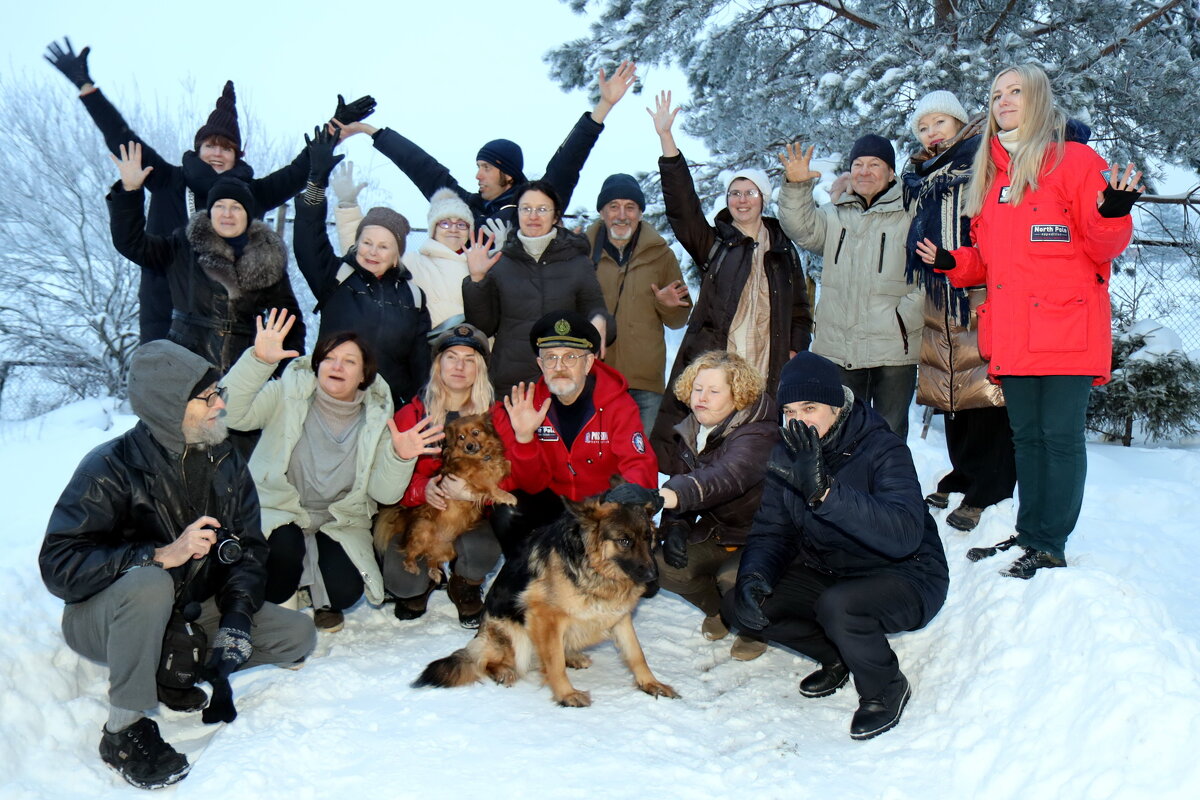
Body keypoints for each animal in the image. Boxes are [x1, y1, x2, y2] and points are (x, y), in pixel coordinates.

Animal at [369, 412, 511, 582]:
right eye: (461, 437)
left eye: (476, 433)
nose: (469, 446)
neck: (478, 457)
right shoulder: (472, 477)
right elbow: (490, 485)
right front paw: (507, 496)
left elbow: (503, 465)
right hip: (423, 529)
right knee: (410, 553)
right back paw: (411, 565)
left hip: (449, 550)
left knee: (432, 559)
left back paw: (434, 571)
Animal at [412, 482, 676, 705]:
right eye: (624, 541)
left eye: (648, 538)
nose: (653, 577)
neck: (594, 569)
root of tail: (481, 635)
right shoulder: (546, 617)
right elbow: (555, 663)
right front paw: (566, 694)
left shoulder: (619, 616)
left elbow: (637, 654)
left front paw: (651, 683)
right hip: (515, 634)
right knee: (487, 661)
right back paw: (503, 671)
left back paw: (573, 656)